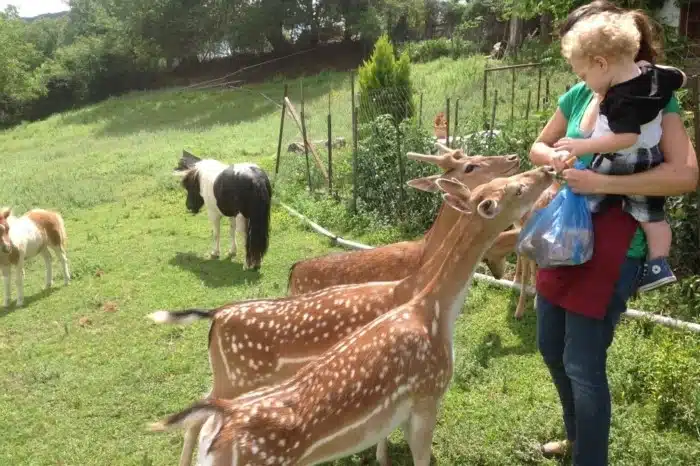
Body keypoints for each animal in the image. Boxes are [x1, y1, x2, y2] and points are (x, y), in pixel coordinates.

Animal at [149, 165, 556, 466]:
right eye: (517, 189)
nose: (548, 169)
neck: (433, 310)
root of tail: (215, 314)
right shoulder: (429, 393)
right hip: (238, 383)